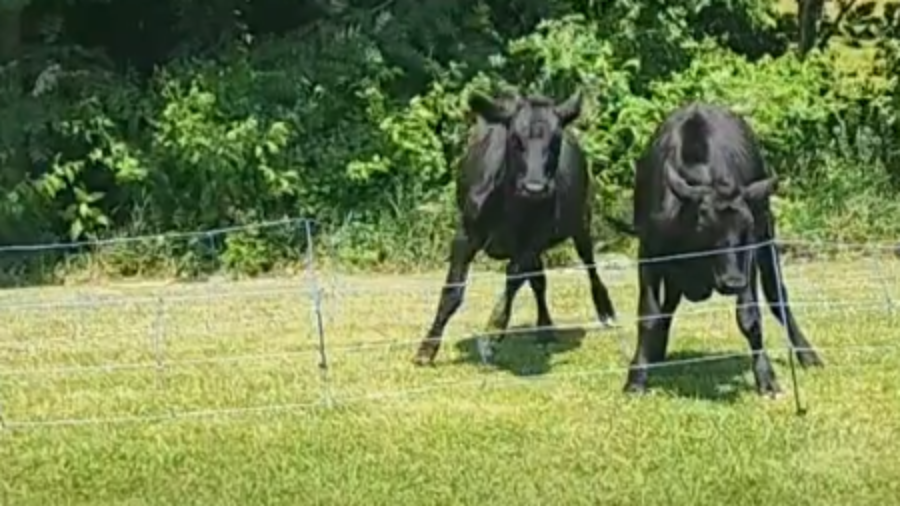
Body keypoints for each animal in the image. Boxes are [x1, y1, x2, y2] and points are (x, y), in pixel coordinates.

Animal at [414, 90, 620, 368]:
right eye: (514, 138)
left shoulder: (532, 241)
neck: (510, 204)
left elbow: (513, 280)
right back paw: (545, 328)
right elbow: (452, 291)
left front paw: (492, 332)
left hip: (581, 222)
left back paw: (603, 311)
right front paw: (427, 347)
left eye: (556, 140)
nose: (535, 188)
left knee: (589, 266)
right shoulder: (465, 235)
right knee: (540, 281)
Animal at [608, 102, 828, 396]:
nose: (732, 281)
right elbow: (650, 315)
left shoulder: (748, 257)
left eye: (746, 226)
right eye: (704, 226)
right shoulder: (649, 254)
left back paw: (807, 354)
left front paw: (766, 377)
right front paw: (637, 377)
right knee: (669, 304)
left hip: (767, 239)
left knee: (776, 294)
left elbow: (749, 315)